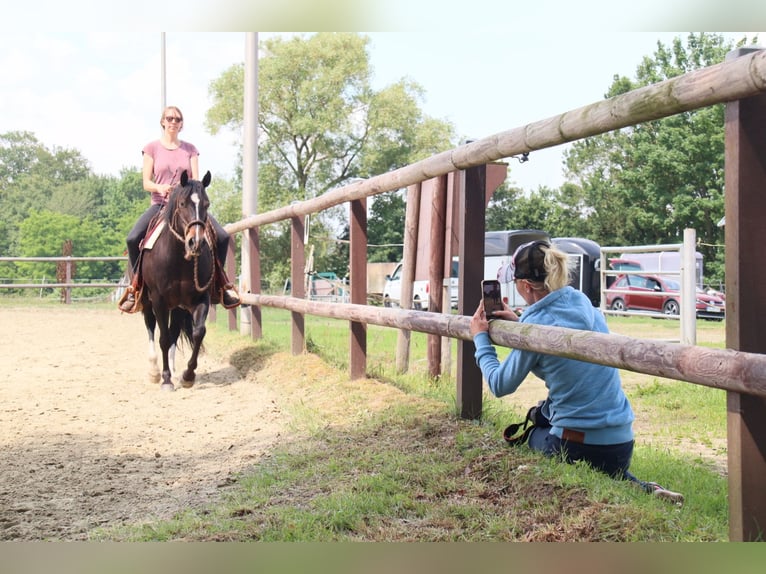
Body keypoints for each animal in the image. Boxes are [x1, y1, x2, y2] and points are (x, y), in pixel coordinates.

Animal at [140, 170, 213, 392]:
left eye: (207, 204)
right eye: (182, 203)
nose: (195, 242)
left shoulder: (201, 298)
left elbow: (198, 332)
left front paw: (188, 376)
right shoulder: (158, 300)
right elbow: (163, 338)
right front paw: (165, 379)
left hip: (178, 307)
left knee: (173, 332)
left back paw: (172, 369)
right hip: (148, 302)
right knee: (151, 327)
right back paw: (154, 371)